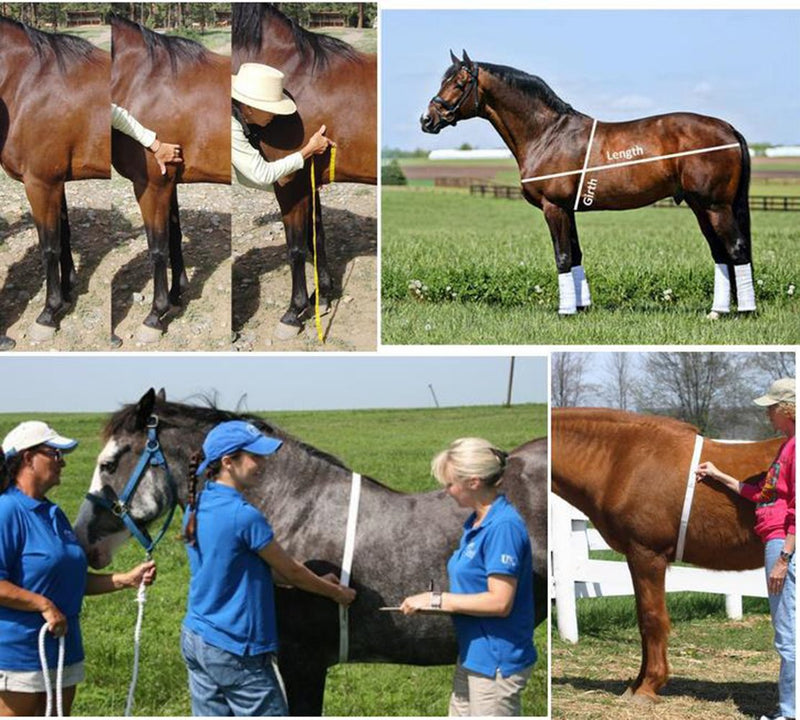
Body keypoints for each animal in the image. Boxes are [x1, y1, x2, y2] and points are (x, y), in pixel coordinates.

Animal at [0, 16, 110, 341]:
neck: (26, 82)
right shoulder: (56, 181)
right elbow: (64, 234)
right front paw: (68, 290)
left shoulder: (40, 183)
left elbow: (48, 246)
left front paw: (49, 312)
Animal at [110, 15, 230, 342]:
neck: (143, 81)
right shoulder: (169, 183)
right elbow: (173, 237)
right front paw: (177, 295)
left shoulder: (151, 186)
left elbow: (157, 247)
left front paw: (155, 314)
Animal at [232, 4, 377, 337]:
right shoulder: (308, 179)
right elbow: (316, 236)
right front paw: (321, 296)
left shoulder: (289, 182)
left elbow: (296, 246)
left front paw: (293, 311)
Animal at [422, 52, 755, 318]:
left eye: (459, 84)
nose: (427, 119)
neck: (547, 134)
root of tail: (728, 128)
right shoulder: (567, 210)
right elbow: (576, 254)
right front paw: (581, 307)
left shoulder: (553, 208)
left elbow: (562, 256)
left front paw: (565, 311)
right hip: (701, 207)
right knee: (720, 253)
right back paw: (717, 311)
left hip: (715, 206)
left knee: (736, 249)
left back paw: (745, 312)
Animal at [551, 407, 784, 703]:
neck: (621, 459)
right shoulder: (635, 556)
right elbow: (643, 620)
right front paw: (636, 685)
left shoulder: (647, 554)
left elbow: (652, 618)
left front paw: (648, 686)